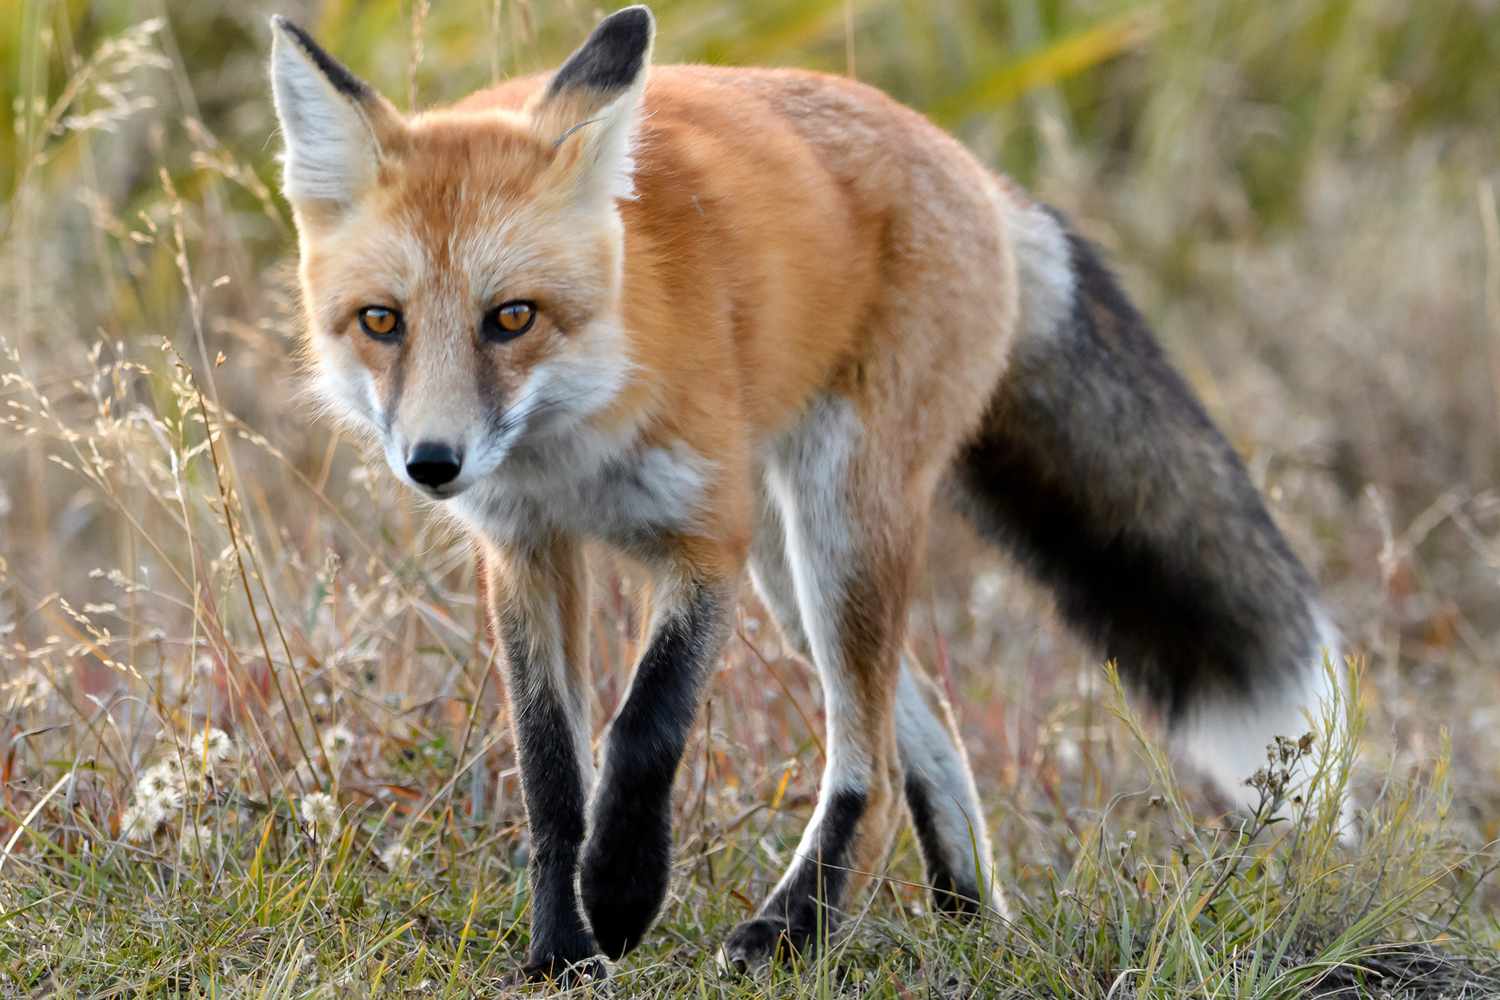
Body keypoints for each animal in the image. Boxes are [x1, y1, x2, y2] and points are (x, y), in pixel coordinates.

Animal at [270, 3, 1350, 983]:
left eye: (512, 318)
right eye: (381, 321)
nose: (433, 462)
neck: (569, 446)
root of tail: (975, 172)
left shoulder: (706, 539)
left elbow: (642, 728)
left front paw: (621, 891)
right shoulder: (526, 551)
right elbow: (549, 775)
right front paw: (562, 948)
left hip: (835, 525)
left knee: (866, 762)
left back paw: (794, 932)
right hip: (793, 574)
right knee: (920, 724)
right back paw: (966, 916)